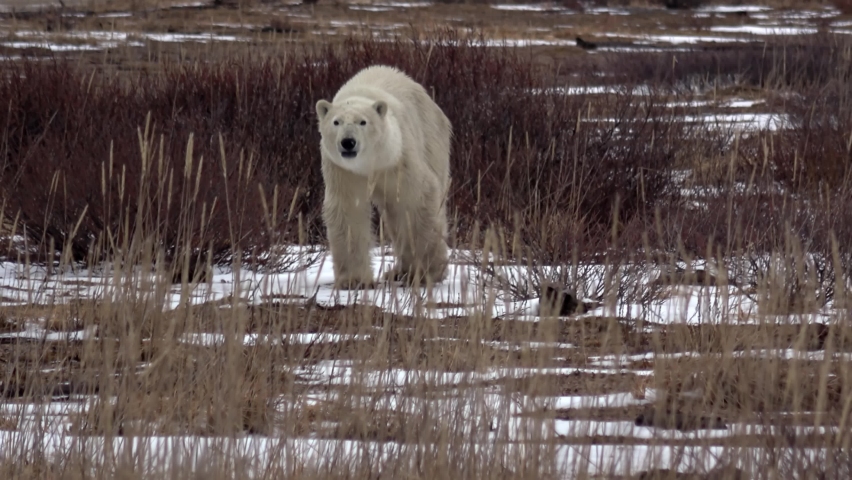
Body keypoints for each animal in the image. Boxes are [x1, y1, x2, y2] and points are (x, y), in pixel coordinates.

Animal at [315, 65, 452, 289]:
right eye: (336, 122)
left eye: (363, 122)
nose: (348, 142)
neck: (371, 164)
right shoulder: (344, 171)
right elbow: (348, 211)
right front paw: (354, 280)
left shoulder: (398, 159)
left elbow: (416, 201)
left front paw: (426, 272)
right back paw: (396, 272)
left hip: (432, 140)